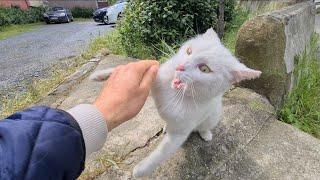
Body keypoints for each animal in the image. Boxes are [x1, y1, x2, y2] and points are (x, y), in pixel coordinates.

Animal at [89, 28, 262, 177]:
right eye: (189, 51)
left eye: (204, 69)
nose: (180, 66)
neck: (175, 93)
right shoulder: (156, 79)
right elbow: (130, 70)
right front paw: (100, 75)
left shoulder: (179, 133)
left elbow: (161, 153)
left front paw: (140, 170)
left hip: (214, 114)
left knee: (205, 125)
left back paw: (205, 133)